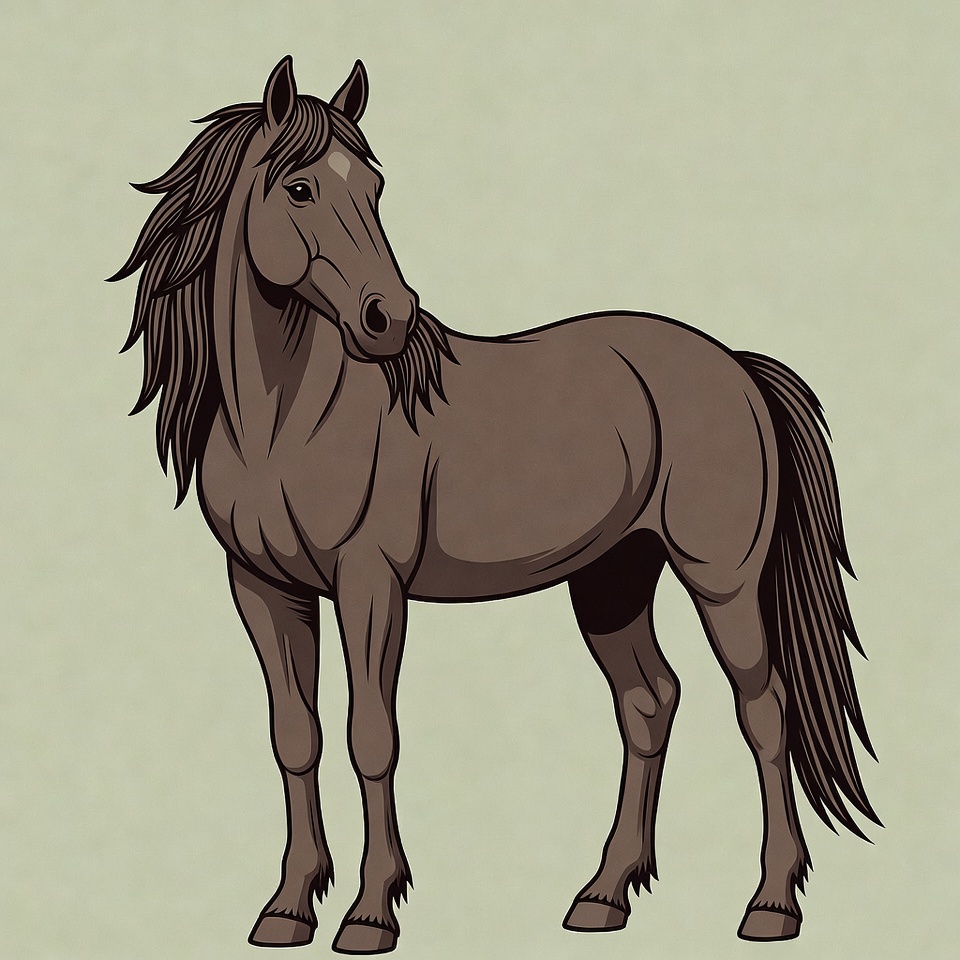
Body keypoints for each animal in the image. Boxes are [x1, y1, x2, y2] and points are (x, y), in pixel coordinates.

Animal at [112, 56, 878, 954]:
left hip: (721, 581)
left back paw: (771, 903)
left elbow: (372, 737)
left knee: (763, 710)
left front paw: (371, 912)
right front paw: (288, 907)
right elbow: (295, 739)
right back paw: (604, 895)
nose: (387, 318)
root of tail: (734, 364)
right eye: (299, 188)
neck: (287, 421)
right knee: (649, 704)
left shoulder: (370, 586)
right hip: (613, 580)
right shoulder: (262, 588)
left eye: (373, 186)